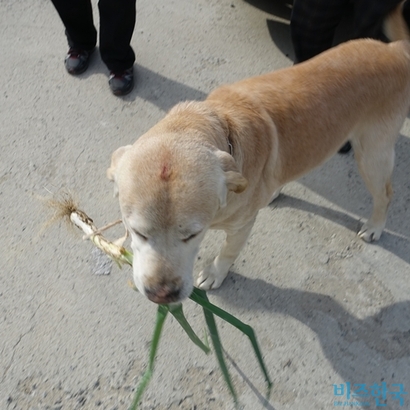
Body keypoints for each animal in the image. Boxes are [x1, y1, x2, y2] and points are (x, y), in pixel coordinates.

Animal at [108, 20, 410, 304]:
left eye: (192, 235)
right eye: (138, 232)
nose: (161, 294)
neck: (216, 124)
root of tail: (394, 50)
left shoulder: (242, 227)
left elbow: (228, 252)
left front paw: (216, 272)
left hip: (372, 155)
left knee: (386, 193)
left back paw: (375, 226)